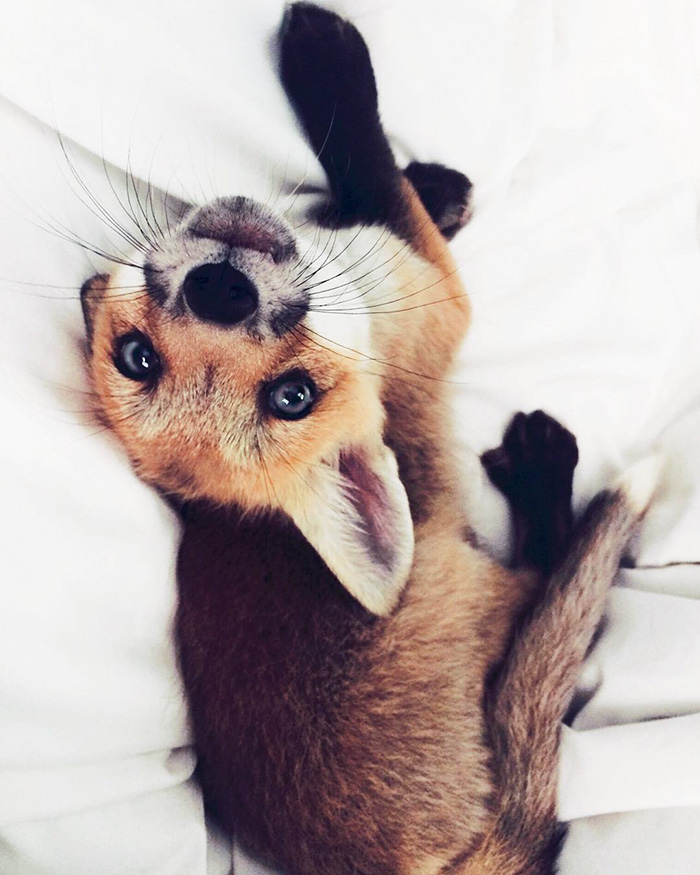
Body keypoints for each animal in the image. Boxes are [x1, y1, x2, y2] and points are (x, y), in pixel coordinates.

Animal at [80, 4, 658, 873]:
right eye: (294, 395)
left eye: (133, 357)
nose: (220, 289)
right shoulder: (440, 290)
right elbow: (370, 160)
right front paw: (328, 56)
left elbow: (384, 190)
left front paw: (439, 186)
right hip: (480, 585)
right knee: (548, 575)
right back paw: (542, 470)